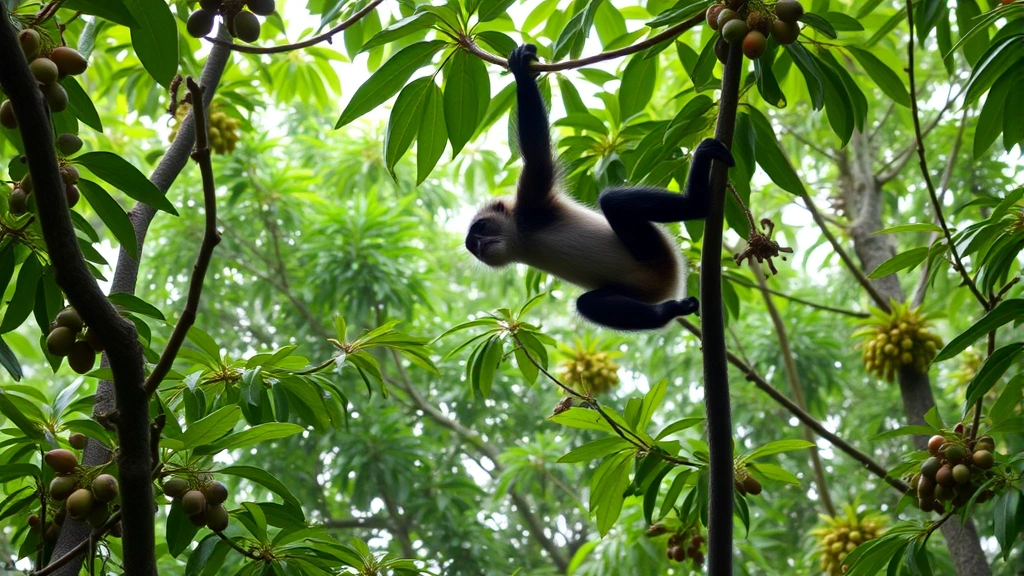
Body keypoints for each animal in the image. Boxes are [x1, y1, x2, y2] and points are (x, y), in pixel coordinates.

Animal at [465, 44, 734, 331]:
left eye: (481, 229)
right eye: (473, 245)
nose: (479, 246)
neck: (520, 238)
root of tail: (670, 282)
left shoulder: (533, 203)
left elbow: (537, 157)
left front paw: (521, 73)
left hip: (657, 255)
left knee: (612, 200)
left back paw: (697, 202)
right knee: (588, 303)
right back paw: (665, 313)